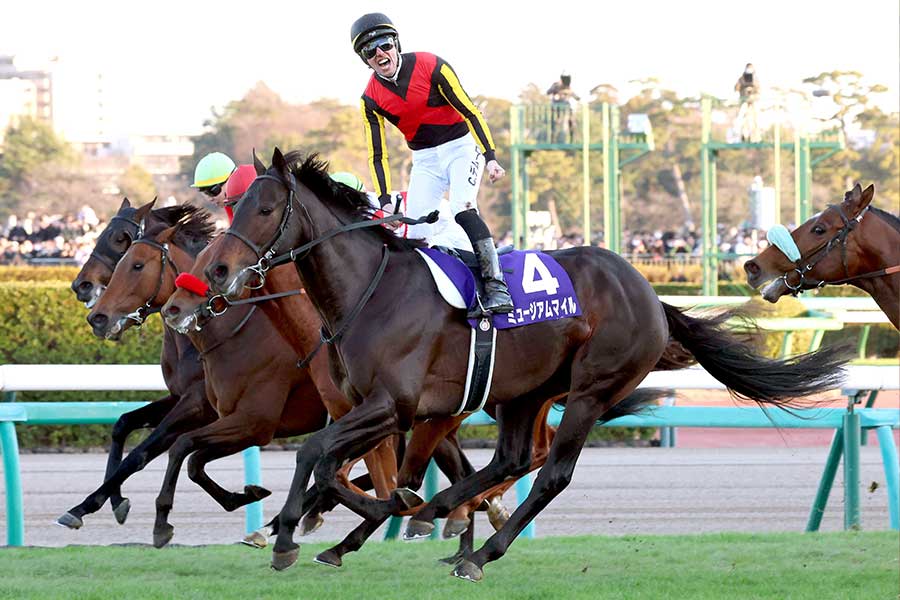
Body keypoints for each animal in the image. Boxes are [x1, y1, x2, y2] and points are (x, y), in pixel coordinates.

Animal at [60, 200, 215, 530]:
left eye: (121, 238)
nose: (81, 285)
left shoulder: (199, 402)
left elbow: (142, 452)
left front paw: (85, 505)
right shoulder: (179, 397)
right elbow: (124, 424)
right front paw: (116, 500)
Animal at [203, 148, 849, 581]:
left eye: (265, 208)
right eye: (234, 206)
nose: (215, 270)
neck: (371, 289)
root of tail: (646, 288)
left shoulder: (395, 405)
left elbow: (322, 457)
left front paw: (290, 534)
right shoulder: (373, 408)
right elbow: (336, 467)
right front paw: (324, 526)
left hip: (590, 389)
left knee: (551, 473)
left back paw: (477, 551)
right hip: (524, 392)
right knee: (510, 460)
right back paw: (445, 518)